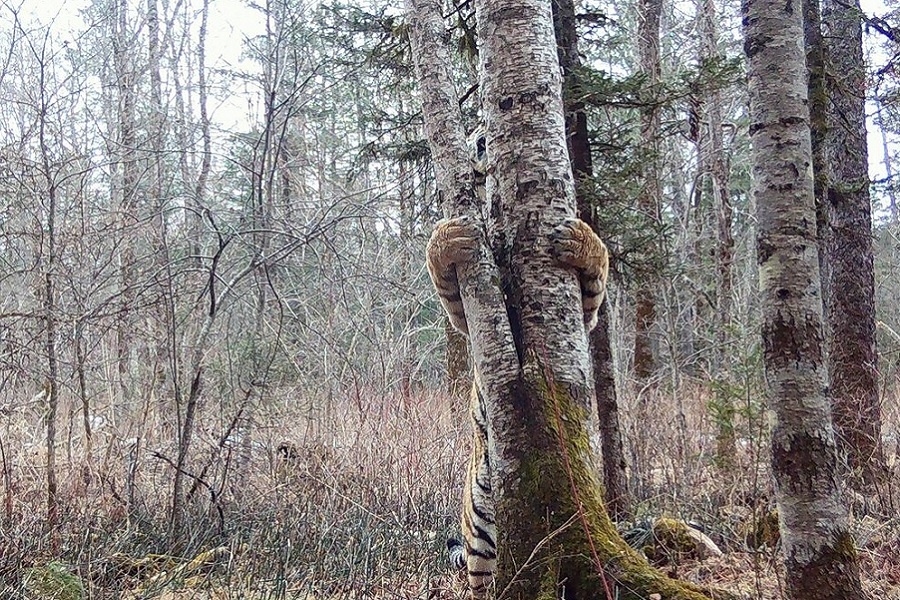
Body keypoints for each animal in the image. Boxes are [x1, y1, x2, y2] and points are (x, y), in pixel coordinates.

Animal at [426, 128, 609, 599]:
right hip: (481, 528)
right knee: (484, 580)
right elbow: (448, 285)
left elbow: (596, 281)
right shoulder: (471, 315)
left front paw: (580, 241)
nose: (481, 139)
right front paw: (449, 237)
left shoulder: (583, 315)